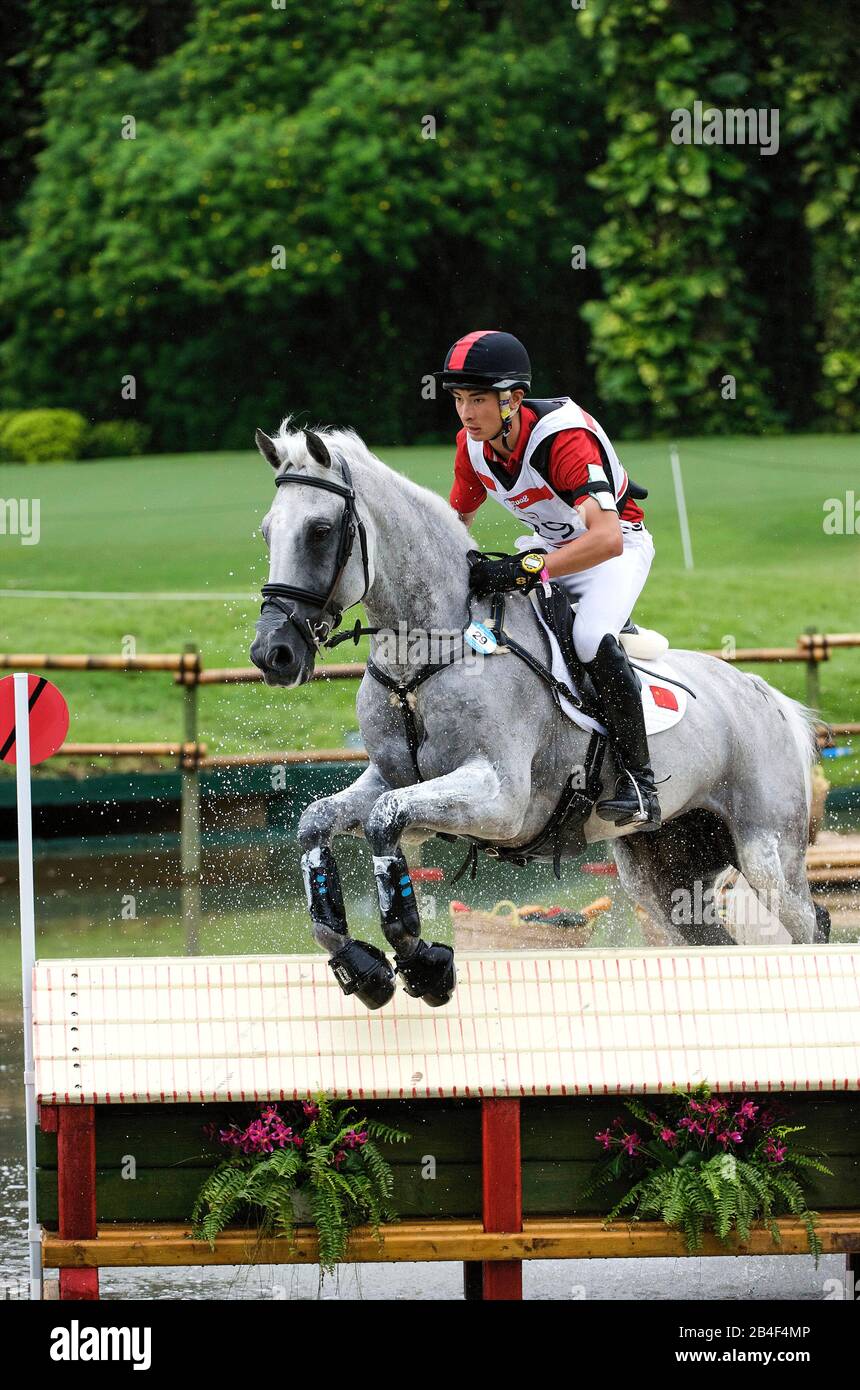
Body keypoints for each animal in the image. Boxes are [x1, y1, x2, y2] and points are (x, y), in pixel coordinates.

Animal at [248, 422, 828, 1011]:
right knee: (706, 934)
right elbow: (318, 821)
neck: (427, 654)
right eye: (268, 532)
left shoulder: (501, 800)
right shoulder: (394, 779)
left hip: (767, 854)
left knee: (809, 923)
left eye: (320, 531)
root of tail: (767, 696)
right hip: (663, 872)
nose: (273, 654)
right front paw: (361, 966)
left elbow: (384, 820)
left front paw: (423, 962)